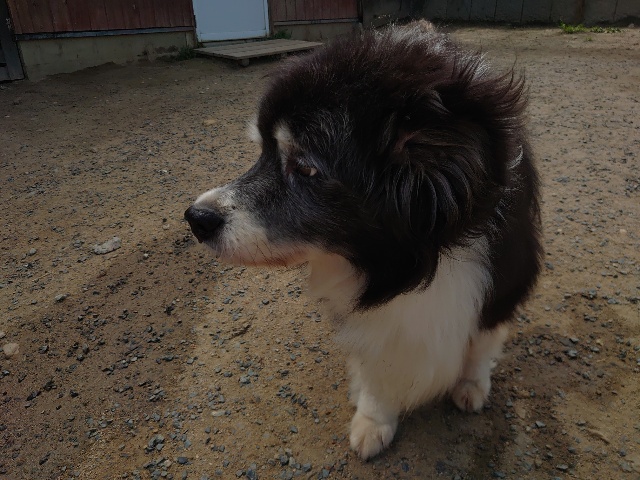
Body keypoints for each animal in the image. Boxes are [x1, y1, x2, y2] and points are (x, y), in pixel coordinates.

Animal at [185, 20, 542, 460]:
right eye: (262, 151)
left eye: (305, 168)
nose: (196, 218)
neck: (415, 262)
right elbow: (377, 367)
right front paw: (373, 420)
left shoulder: (501, 285)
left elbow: (481, 344)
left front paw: (472, 384)